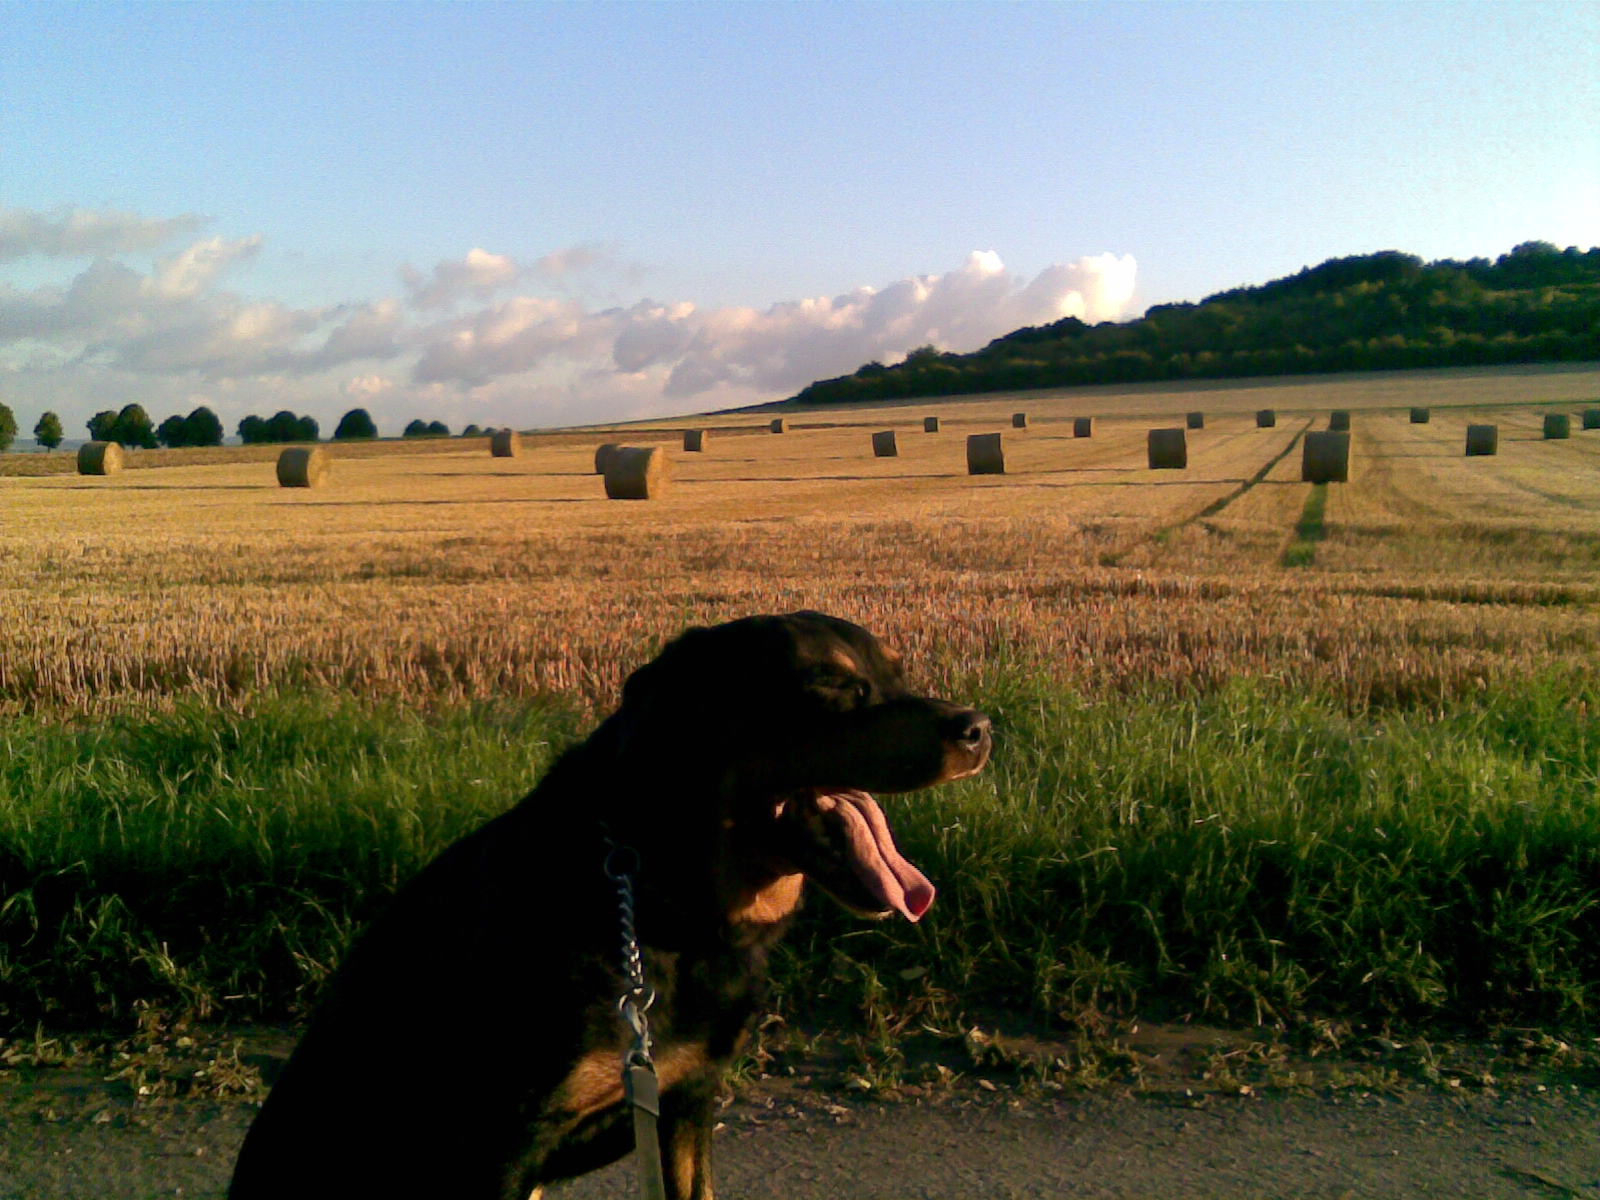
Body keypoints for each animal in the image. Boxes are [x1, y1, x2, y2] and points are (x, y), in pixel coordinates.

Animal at [228, 611, 991, 1200]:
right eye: (831, 685)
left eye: (899, 674)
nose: (980, 727)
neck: (660, 902)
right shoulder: (503, 1141)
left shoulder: (685, 1102)